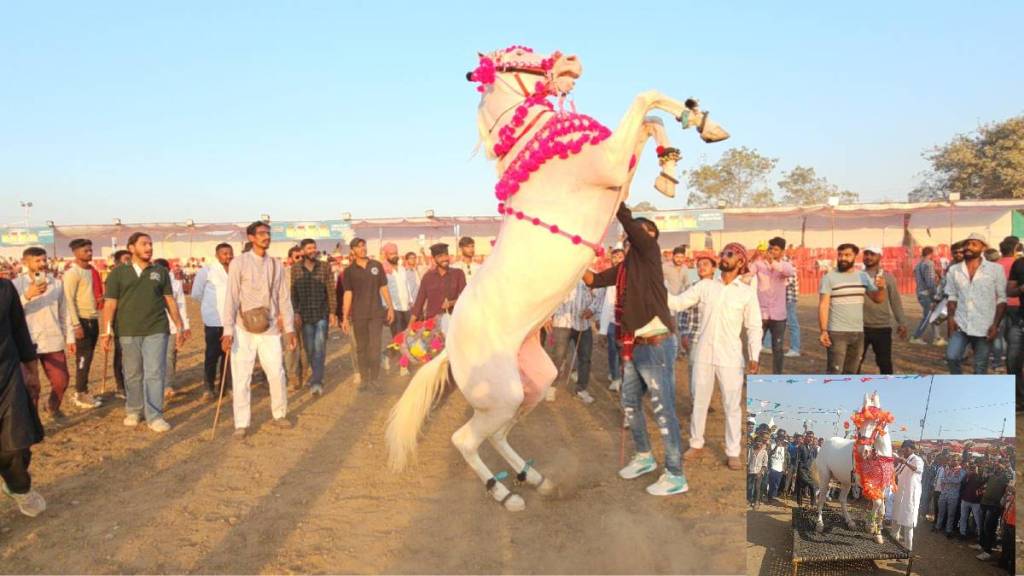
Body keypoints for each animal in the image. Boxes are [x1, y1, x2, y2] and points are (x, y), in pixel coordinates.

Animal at [385, 45, 729, 510]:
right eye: (514, 57)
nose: (572, 62)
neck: (537, 147)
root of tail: (450, 349)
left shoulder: (618, 169)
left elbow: (652, 120)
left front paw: (685, 152)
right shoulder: (610, 163)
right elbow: (646, 100)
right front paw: (691, 138)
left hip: (531, 384)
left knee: (498, 434)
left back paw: (534, 477)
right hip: (502, 394)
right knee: (465, 439)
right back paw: (505, 494)